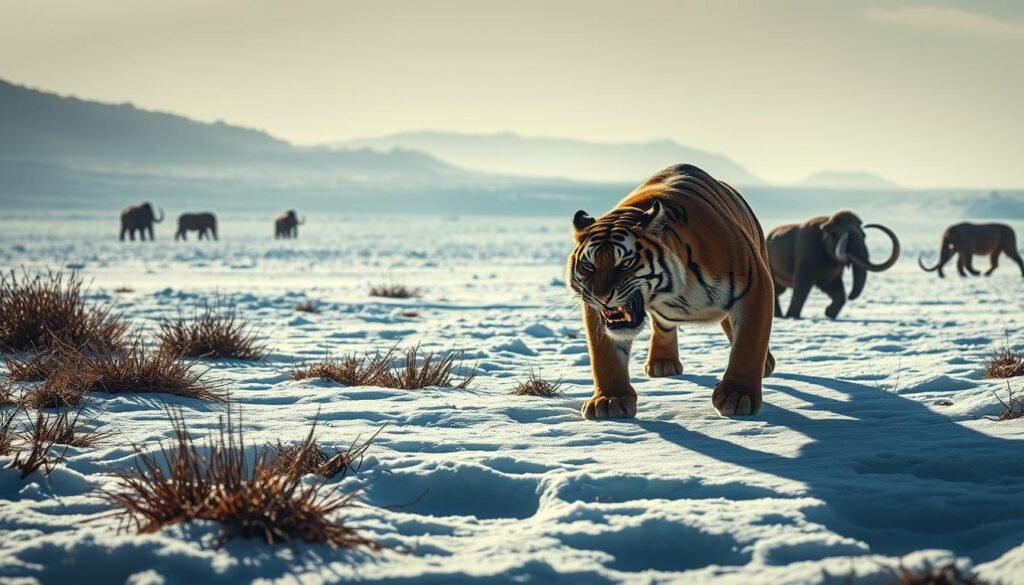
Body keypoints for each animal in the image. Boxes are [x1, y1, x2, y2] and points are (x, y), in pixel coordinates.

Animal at [567, 163, 776, 419]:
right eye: (589, 266)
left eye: (625, 263)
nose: (602, 297)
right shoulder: (594, 308)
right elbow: (605, 356)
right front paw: (610, 400)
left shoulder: (755, 284)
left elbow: (748, 344)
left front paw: (737, 396)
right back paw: (662, 364)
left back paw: (766, 365)